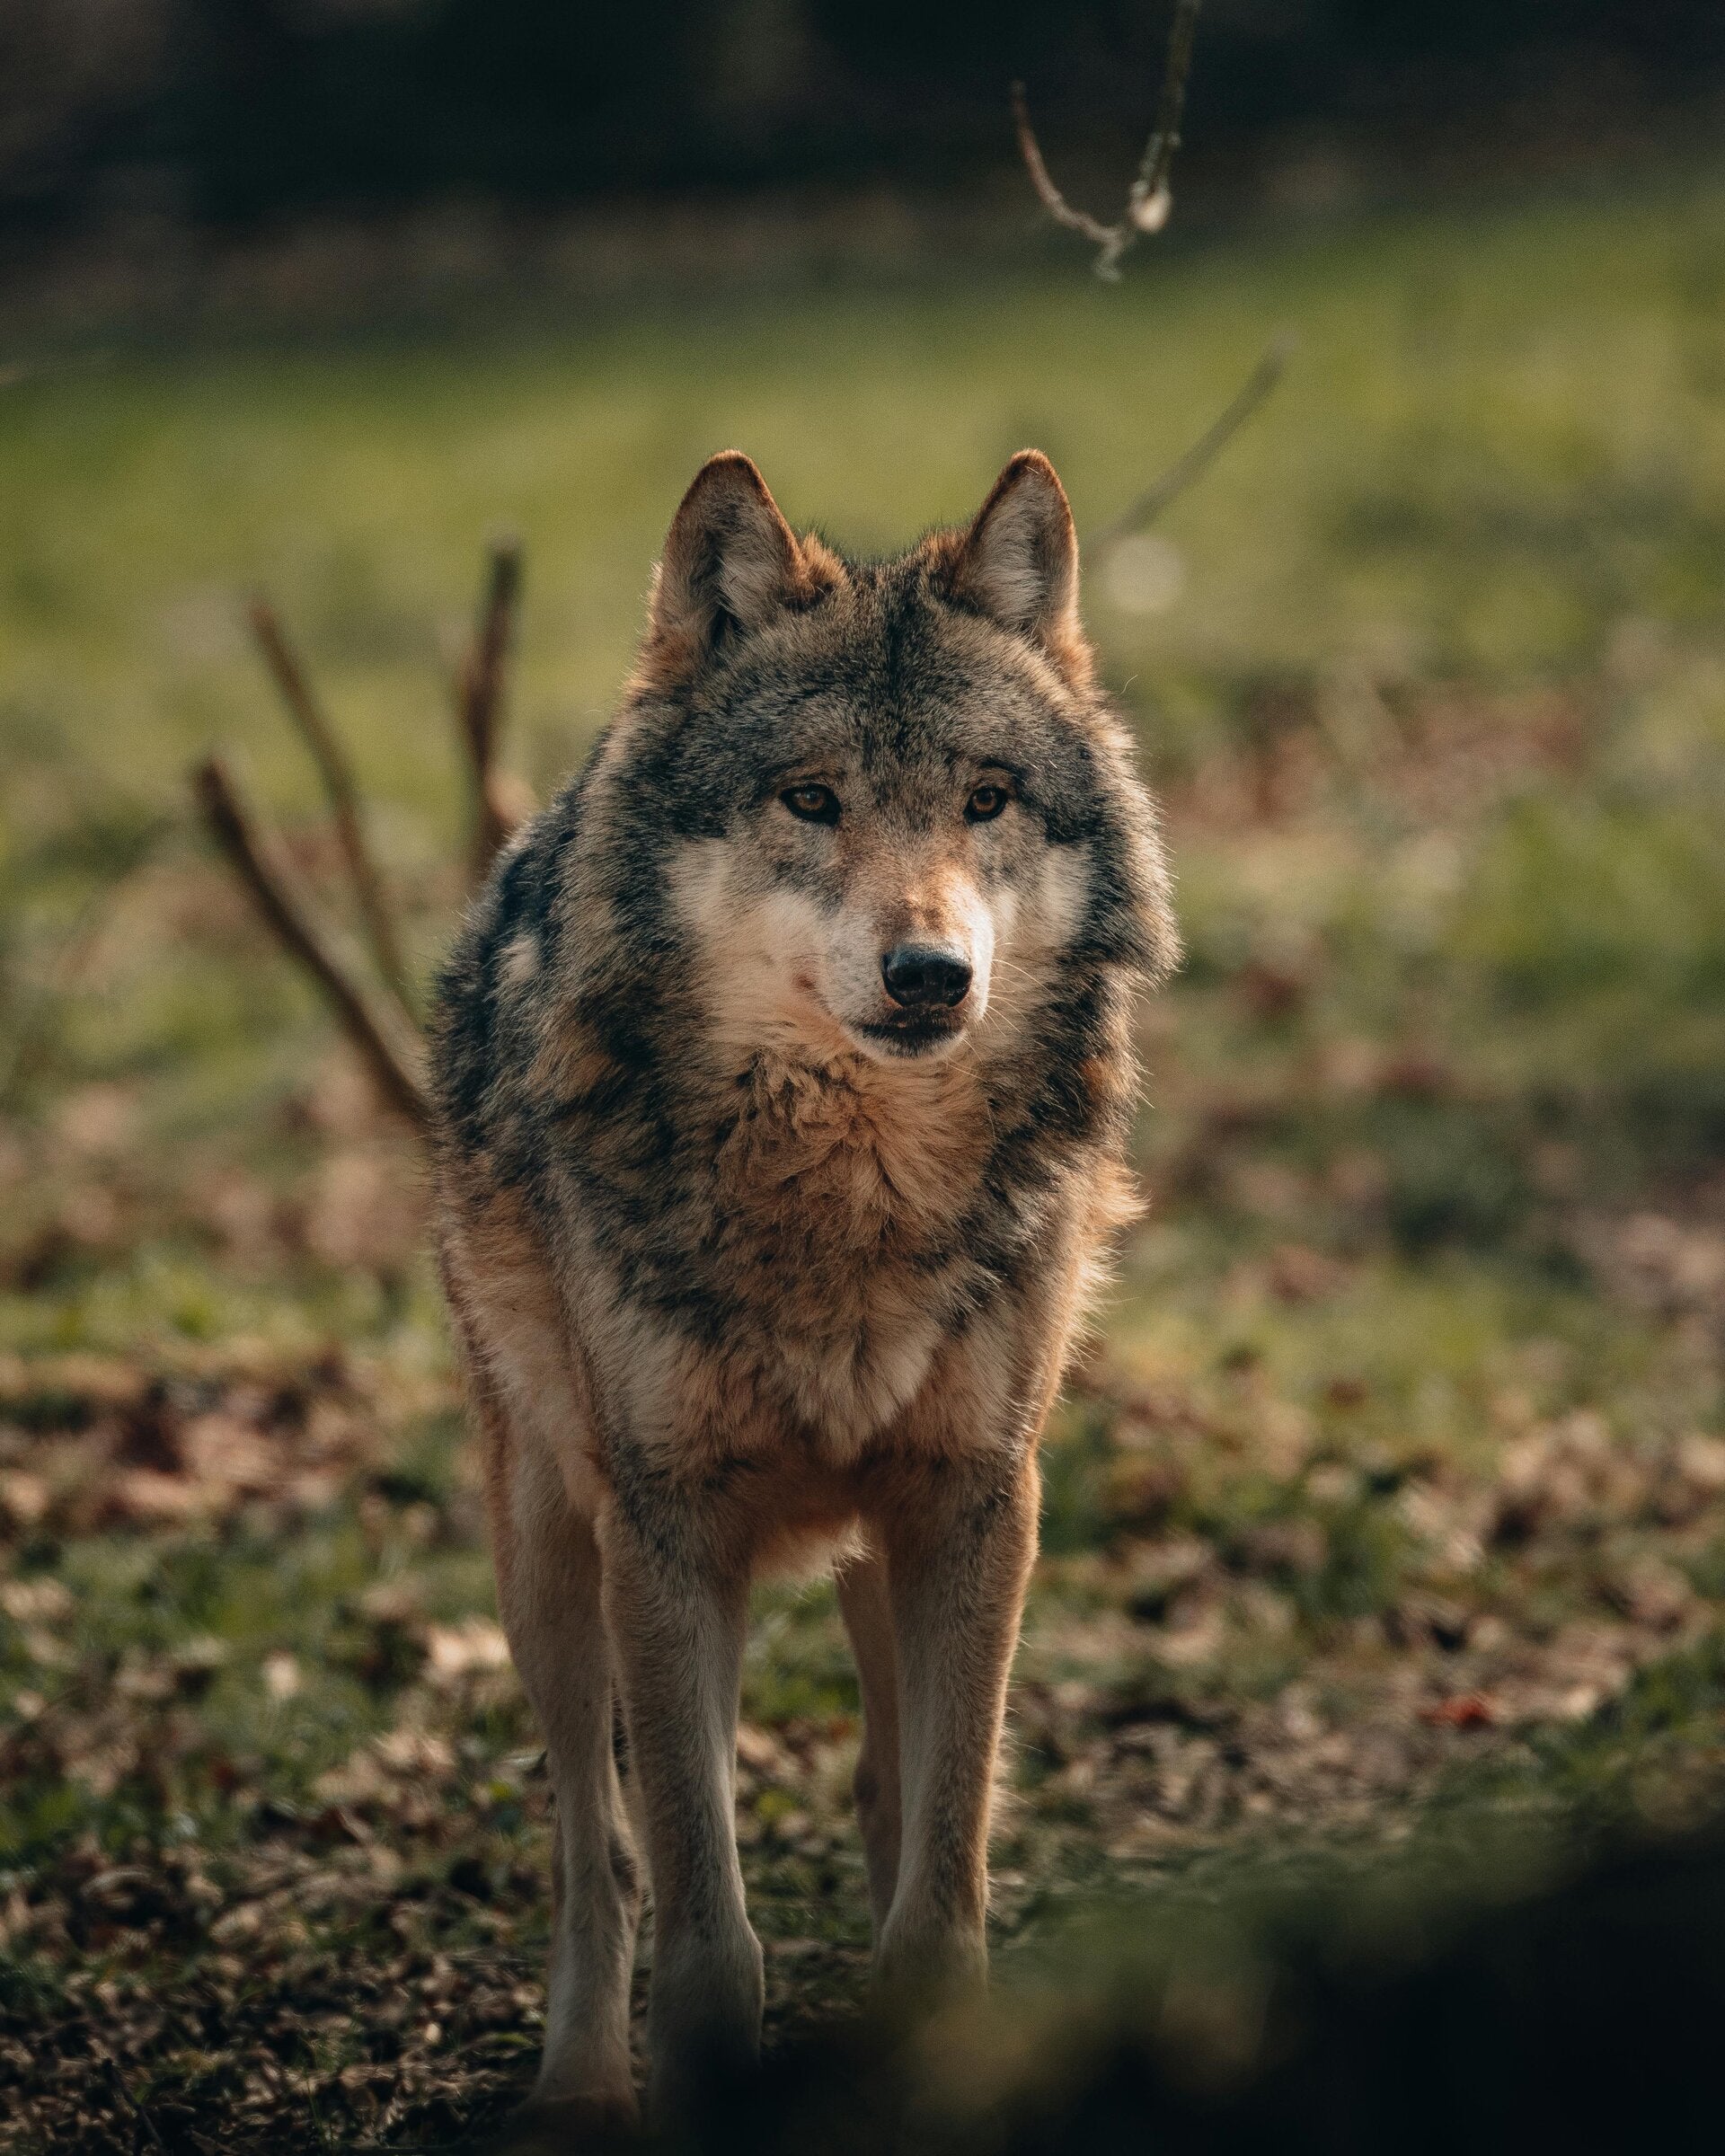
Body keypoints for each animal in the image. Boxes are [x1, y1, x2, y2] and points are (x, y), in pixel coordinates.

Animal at [429, 447, 1177, 2142]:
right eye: (811, 798)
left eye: (986, 797)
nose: (929, 977)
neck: (854, 1202)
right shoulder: (664, 1524)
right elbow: (700, 1913)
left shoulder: (980, 1496)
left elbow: (944, 1866)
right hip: (542, 1545)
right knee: (594, 1850)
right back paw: (580, 2085)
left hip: (885, 1549)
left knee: (892, 1791)